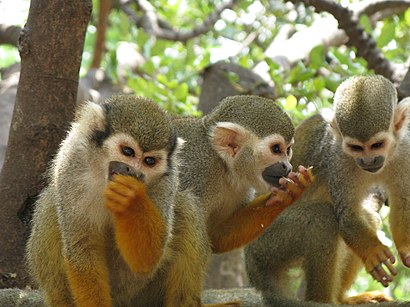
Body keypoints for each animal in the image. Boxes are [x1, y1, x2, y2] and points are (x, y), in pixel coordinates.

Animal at [26, 95, 210, 306]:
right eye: (128, 152)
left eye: (149, 161)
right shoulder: (72, 162)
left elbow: (147, 260)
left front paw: (131, 201)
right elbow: (82, 248)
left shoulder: (166, 182)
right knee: (49, 204)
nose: (134, 172)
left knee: (186, 208)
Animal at [171, 96, 312, 255]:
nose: (287, 166)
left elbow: (217, 236)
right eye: (276, 149)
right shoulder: (194, 167)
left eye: (288, 150)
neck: (224, 167)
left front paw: (288, 194)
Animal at [245, 75, 410, 306]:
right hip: (267, 241)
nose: (368, 161)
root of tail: (250, 265)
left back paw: (342, 299)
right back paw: (324, 300)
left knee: (367, 218)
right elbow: (347, 216)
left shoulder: (405, 150)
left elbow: (402, 203)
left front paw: (406, 249)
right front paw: (374, 252)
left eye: (377, 145)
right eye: (356, 148)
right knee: (323, 220)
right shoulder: (337, 158)